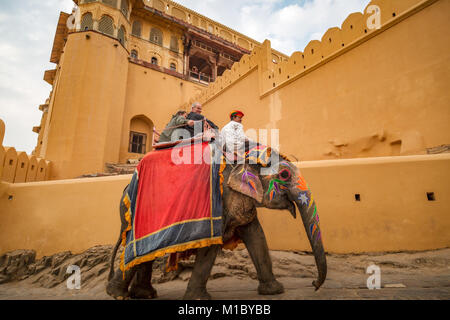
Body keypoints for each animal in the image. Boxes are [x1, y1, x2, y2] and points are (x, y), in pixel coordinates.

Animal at [106, 142, 324, 300]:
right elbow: (210, 247)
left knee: (144, 255)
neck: (244, 155)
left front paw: (275, 291)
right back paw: (117, 295)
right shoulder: (220, 202)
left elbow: (256, 236)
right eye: (285, 175)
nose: (314, 285)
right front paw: (198, 299)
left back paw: (144, 295)